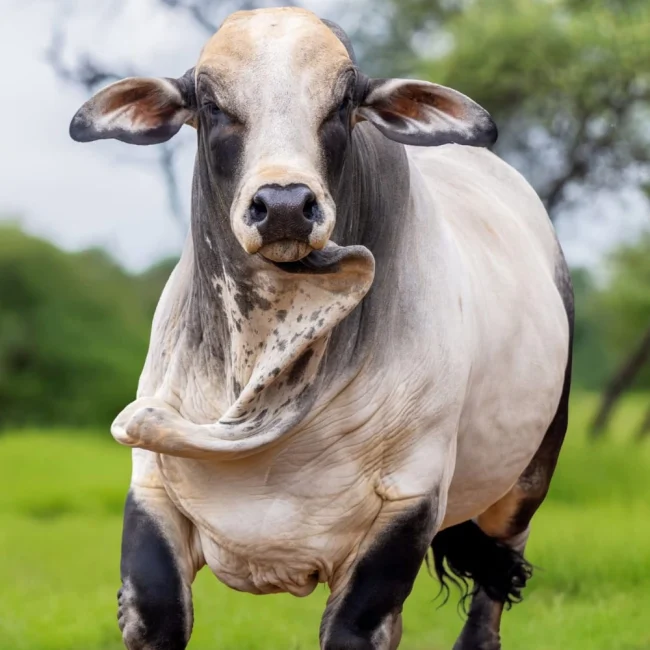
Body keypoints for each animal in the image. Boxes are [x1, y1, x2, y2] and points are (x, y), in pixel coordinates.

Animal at [69, 7, 573, 650]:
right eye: (210, 104)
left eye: (342, 103)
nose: (284, 205)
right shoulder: (153, 490)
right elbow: (157, 613)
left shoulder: (409, 503)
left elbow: (354, 629)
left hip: (528, 479)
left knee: (491, 594)